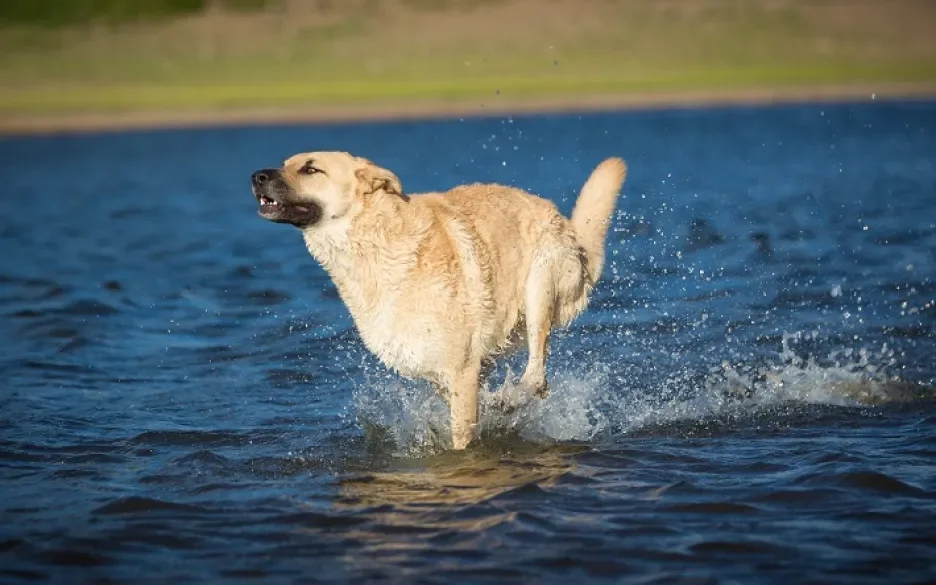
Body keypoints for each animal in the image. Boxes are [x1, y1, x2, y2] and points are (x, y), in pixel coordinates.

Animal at [252, 151, 624, 448]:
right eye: (285, 164)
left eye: (311, 169)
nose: (257, 176)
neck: (375, 240)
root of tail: (568, 227)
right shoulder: (442, 370)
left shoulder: (461, 369)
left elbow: (462, 438)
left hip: (540, 284)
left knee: (536, 377)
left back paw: (509, 398)